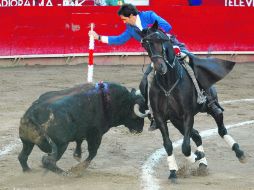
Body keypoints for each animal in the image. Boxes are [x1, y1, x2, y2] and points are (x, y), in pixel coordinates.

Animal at [18, 81, 148, 174]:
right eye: (137, 115)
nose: (139, 130)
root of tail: (32, 112)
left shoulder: (82, 132)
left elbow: (79, 142)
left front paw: (77, 155)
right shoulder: (96, 134)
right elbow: (92, 153)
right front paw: (79, 167)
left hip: (27, 142)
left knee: (22, 157)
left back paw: (28, 171)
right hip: (61, 145)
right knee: (48, 161)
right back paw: (66, 173)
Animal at [138, 21, 247, 183]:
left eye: (160, 40)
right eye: (145, 44)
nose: (160, 67)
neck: (168, 83)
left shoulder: (188, 115)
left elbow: (185, 147)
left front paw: (196, 156)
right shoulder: (161, 117)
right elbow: (169, 145)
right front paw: (173, 172)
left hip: (210, 108)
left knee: (221, 129)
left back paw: (239, 153)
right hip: (176, 121)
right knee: (196, 136)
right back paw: (202, 164)